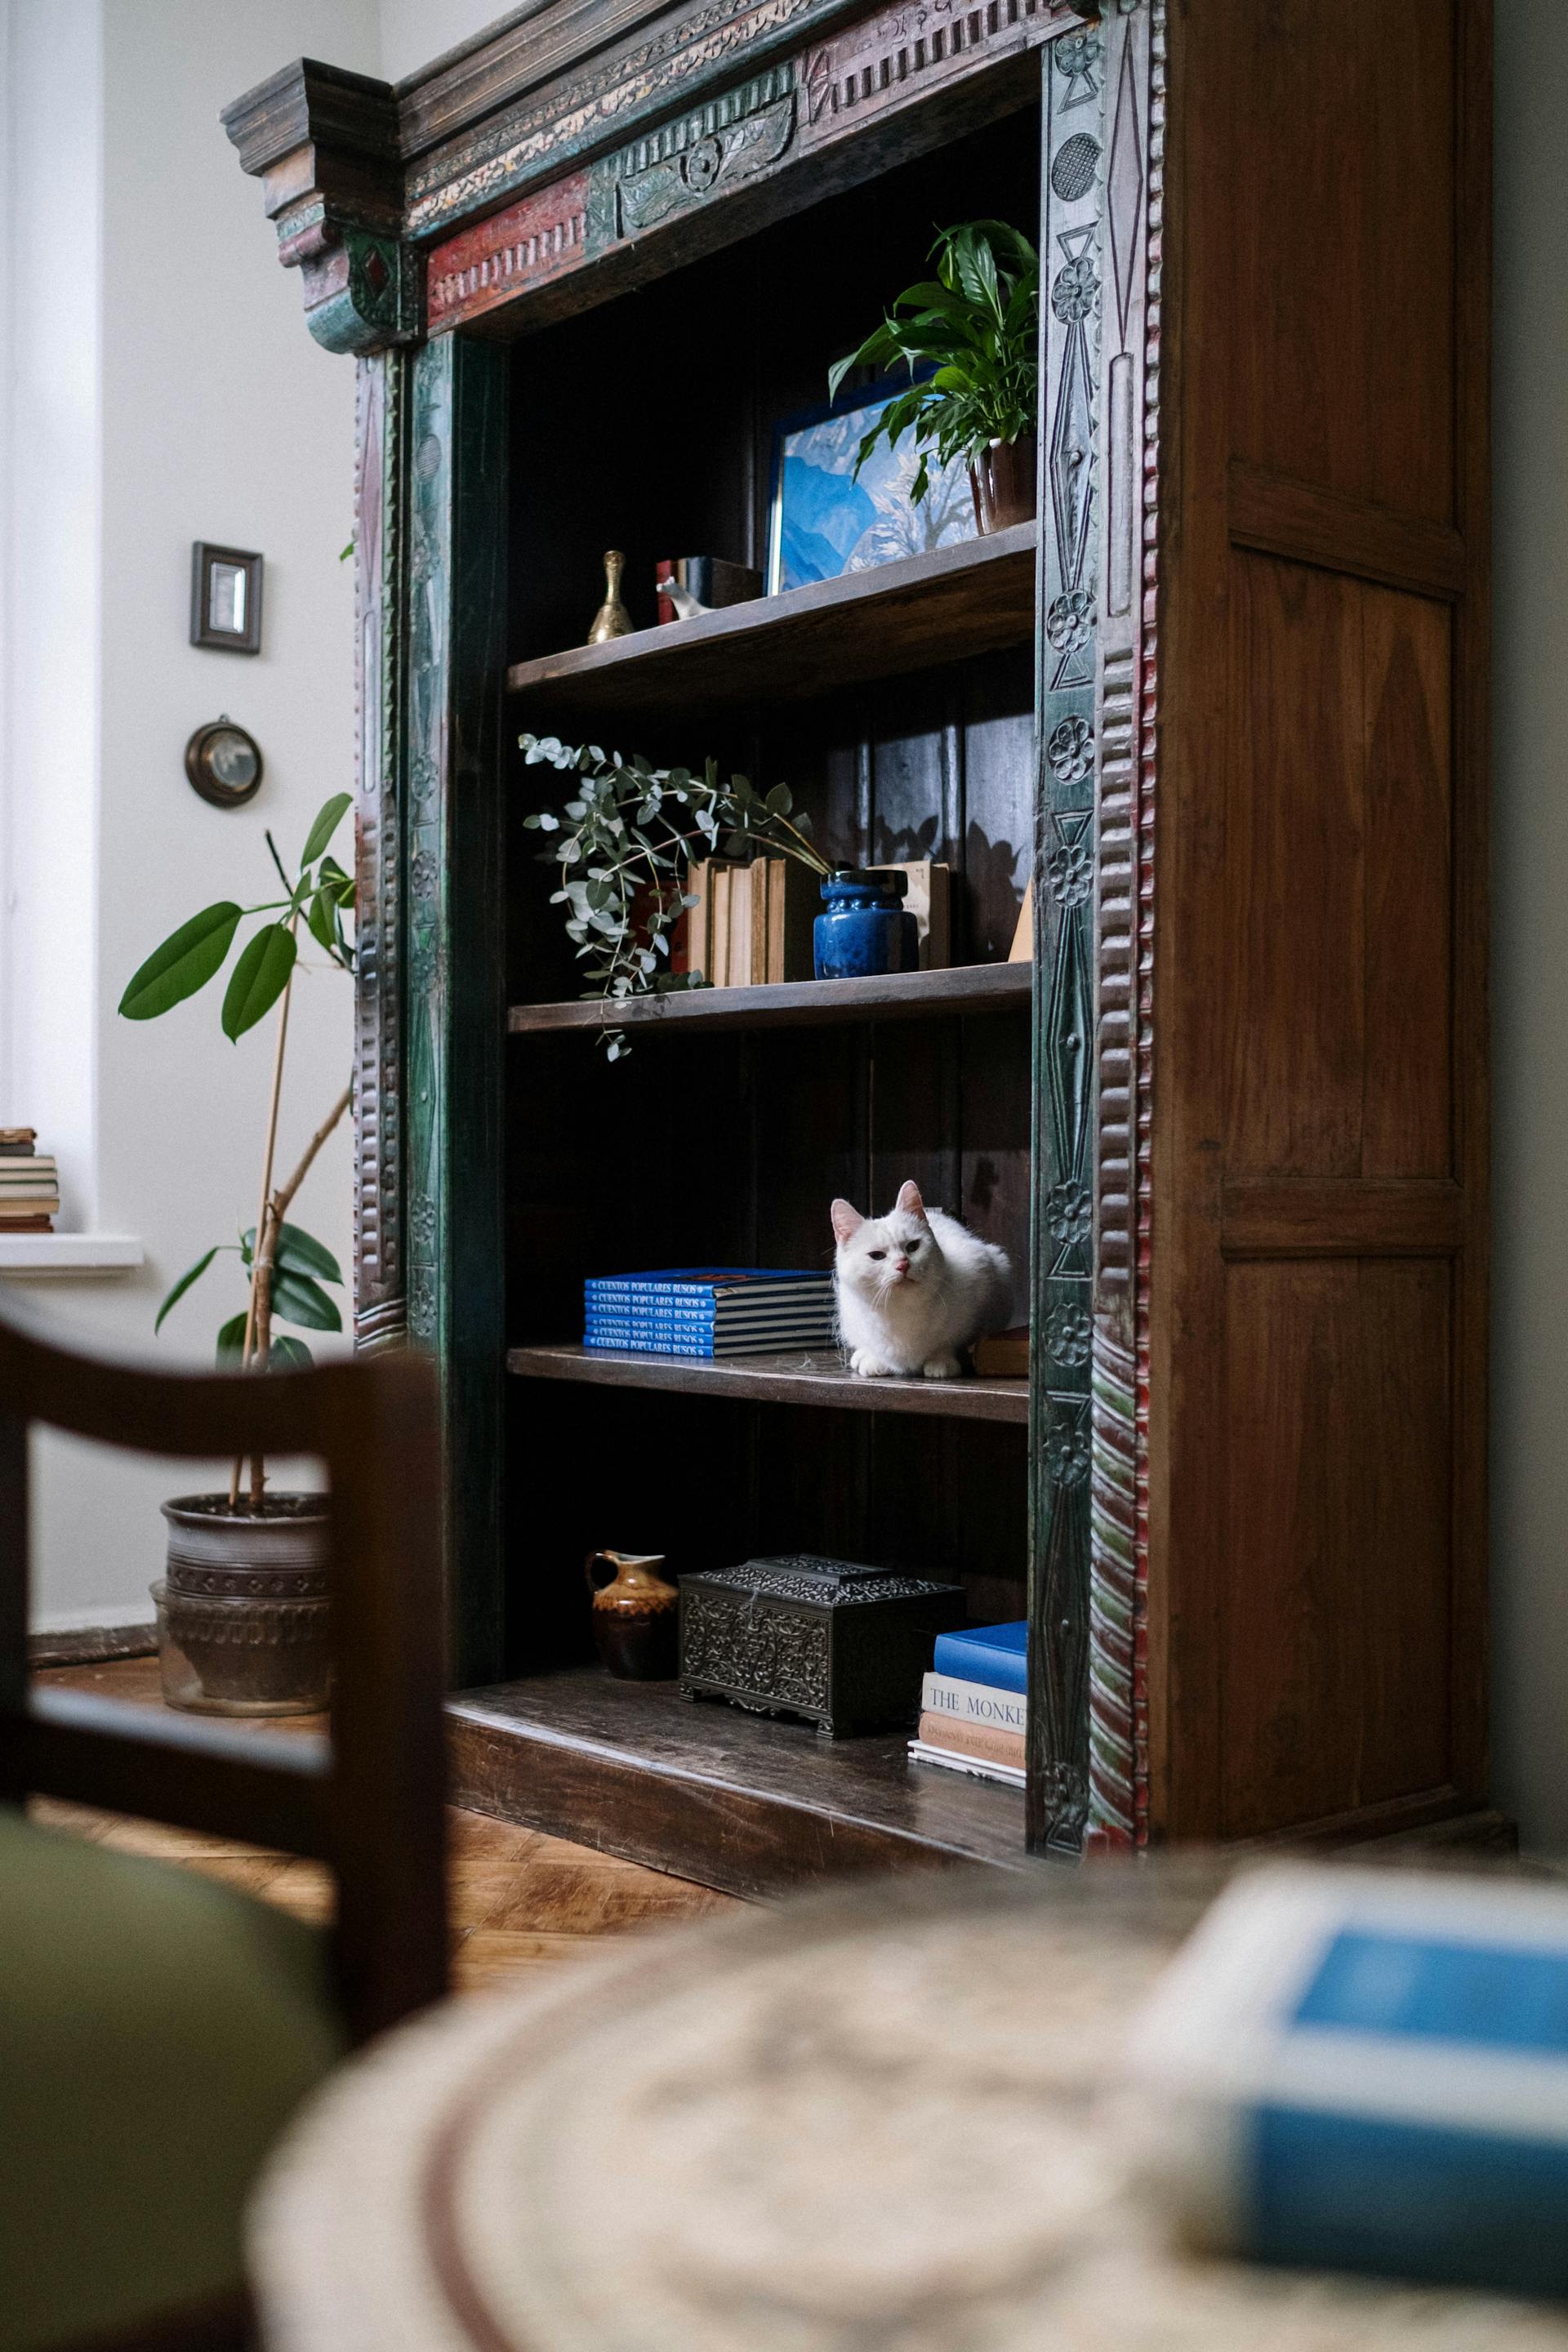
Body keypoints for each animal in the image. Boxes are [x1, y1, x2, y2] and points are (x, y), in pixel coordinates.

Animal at [832, 1176, 1020, 1373]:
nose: (903, 1264)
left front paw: (941, 1361)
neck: (901, 1311)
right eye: (877, 1256)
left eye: (913, 1246)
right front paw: (875, 1360)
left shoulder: (983, 1273)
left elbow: (951, 1342)